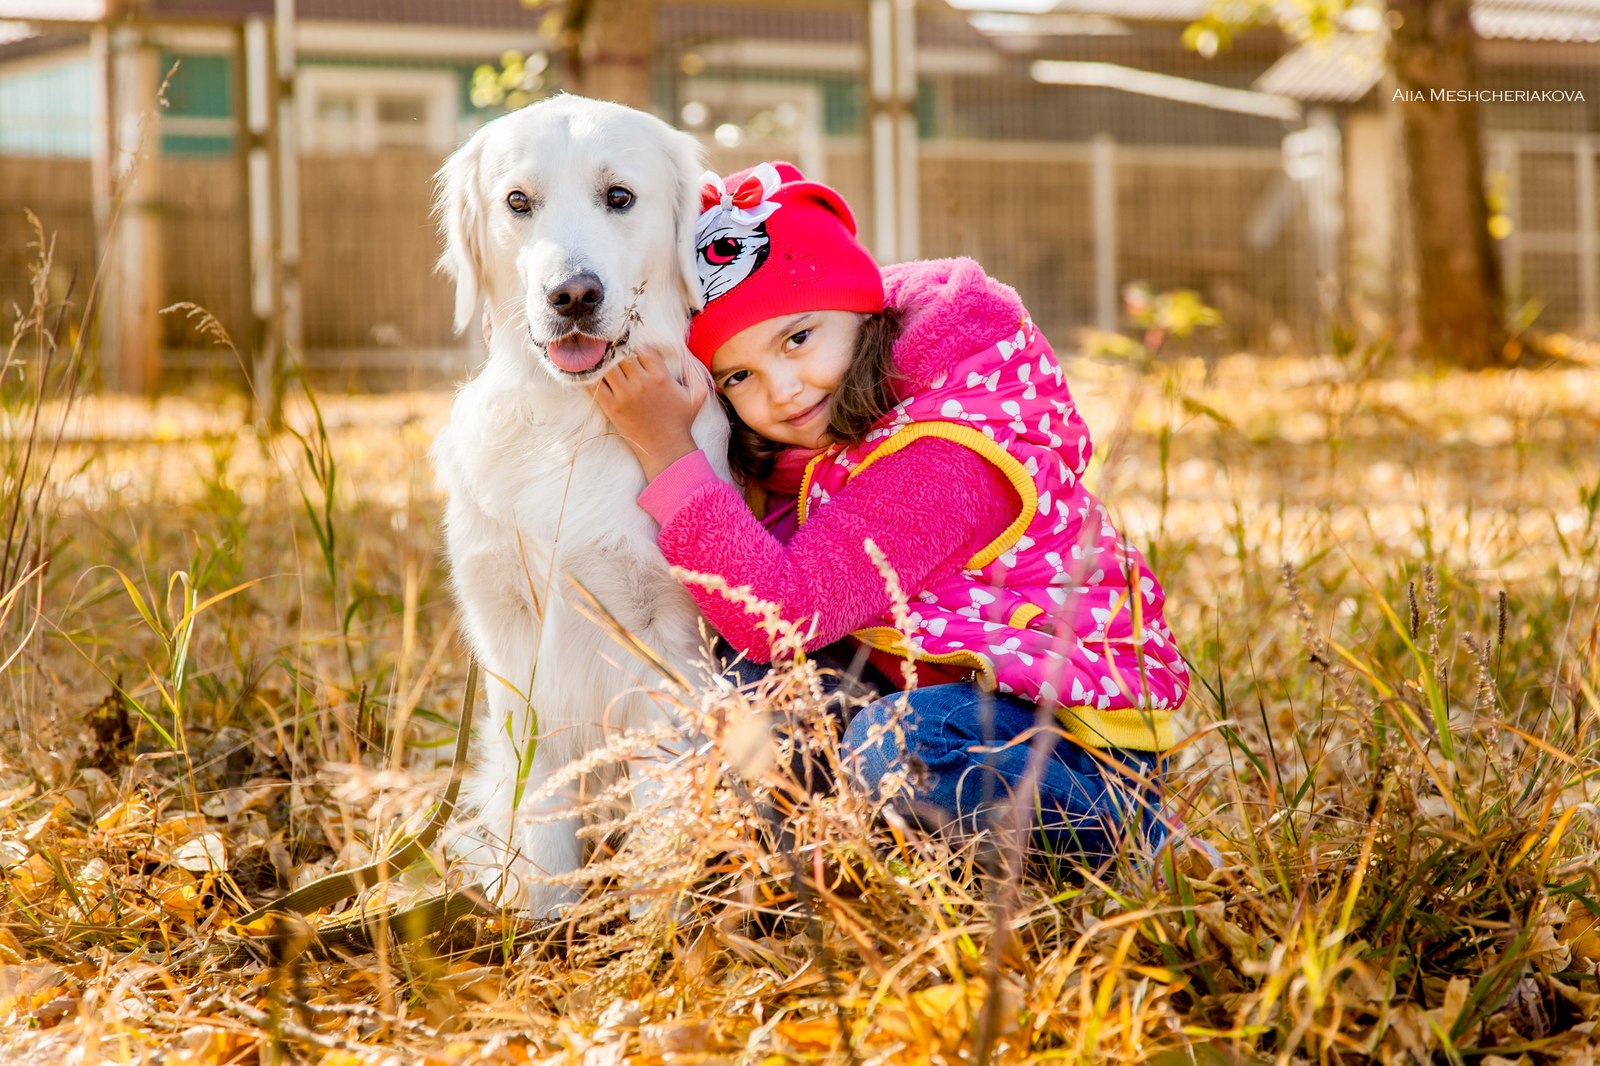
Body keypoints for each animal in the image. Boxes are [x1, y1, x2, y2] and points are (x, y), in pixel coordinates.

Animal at [425, 93, 726, 915]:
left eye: (619, 197)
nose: (573, 294)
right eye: (516, 202)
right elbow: (542, 812)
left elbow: (656, 808)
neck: (572, 421)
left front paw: (652, 924)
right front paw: (541, 920)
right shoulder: (511, 646)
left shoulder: (663, 643)